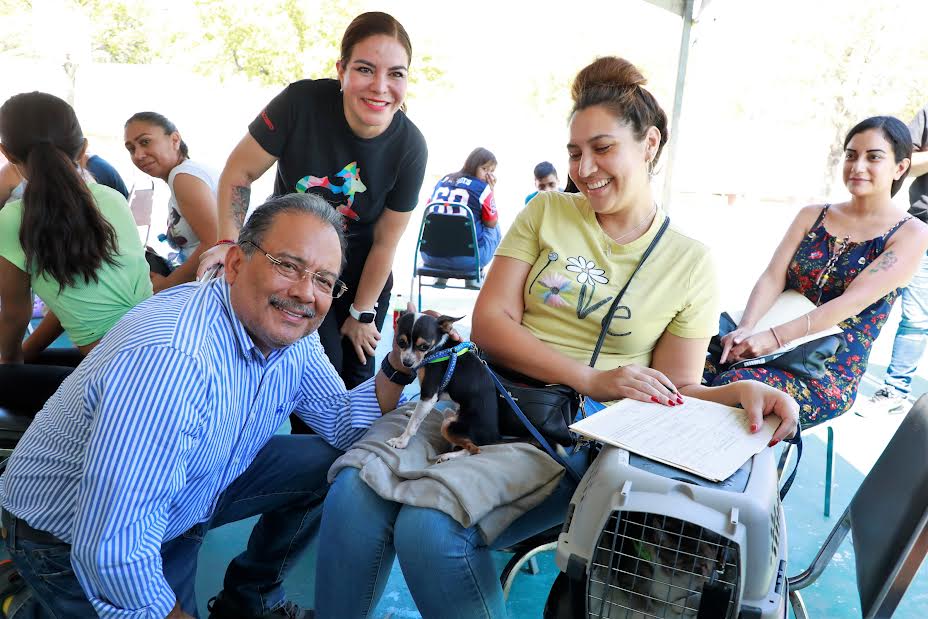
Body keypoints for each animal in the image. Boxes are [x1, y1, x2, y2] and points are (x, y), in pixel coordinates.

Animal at [386, 308, 500, 462]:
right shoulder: (431, 396)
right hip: (449, 414)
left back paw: (448, 456)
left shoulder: (429, 394)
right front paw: (413, 412)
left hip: (448, 425)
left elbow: (413, 424)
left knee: (474, 449)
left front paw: (401, 441)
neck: (438, 349)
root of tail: (495, 439)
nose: (407, 363)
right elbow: (418, 414)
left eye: (424, 346)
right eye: (401, 342)